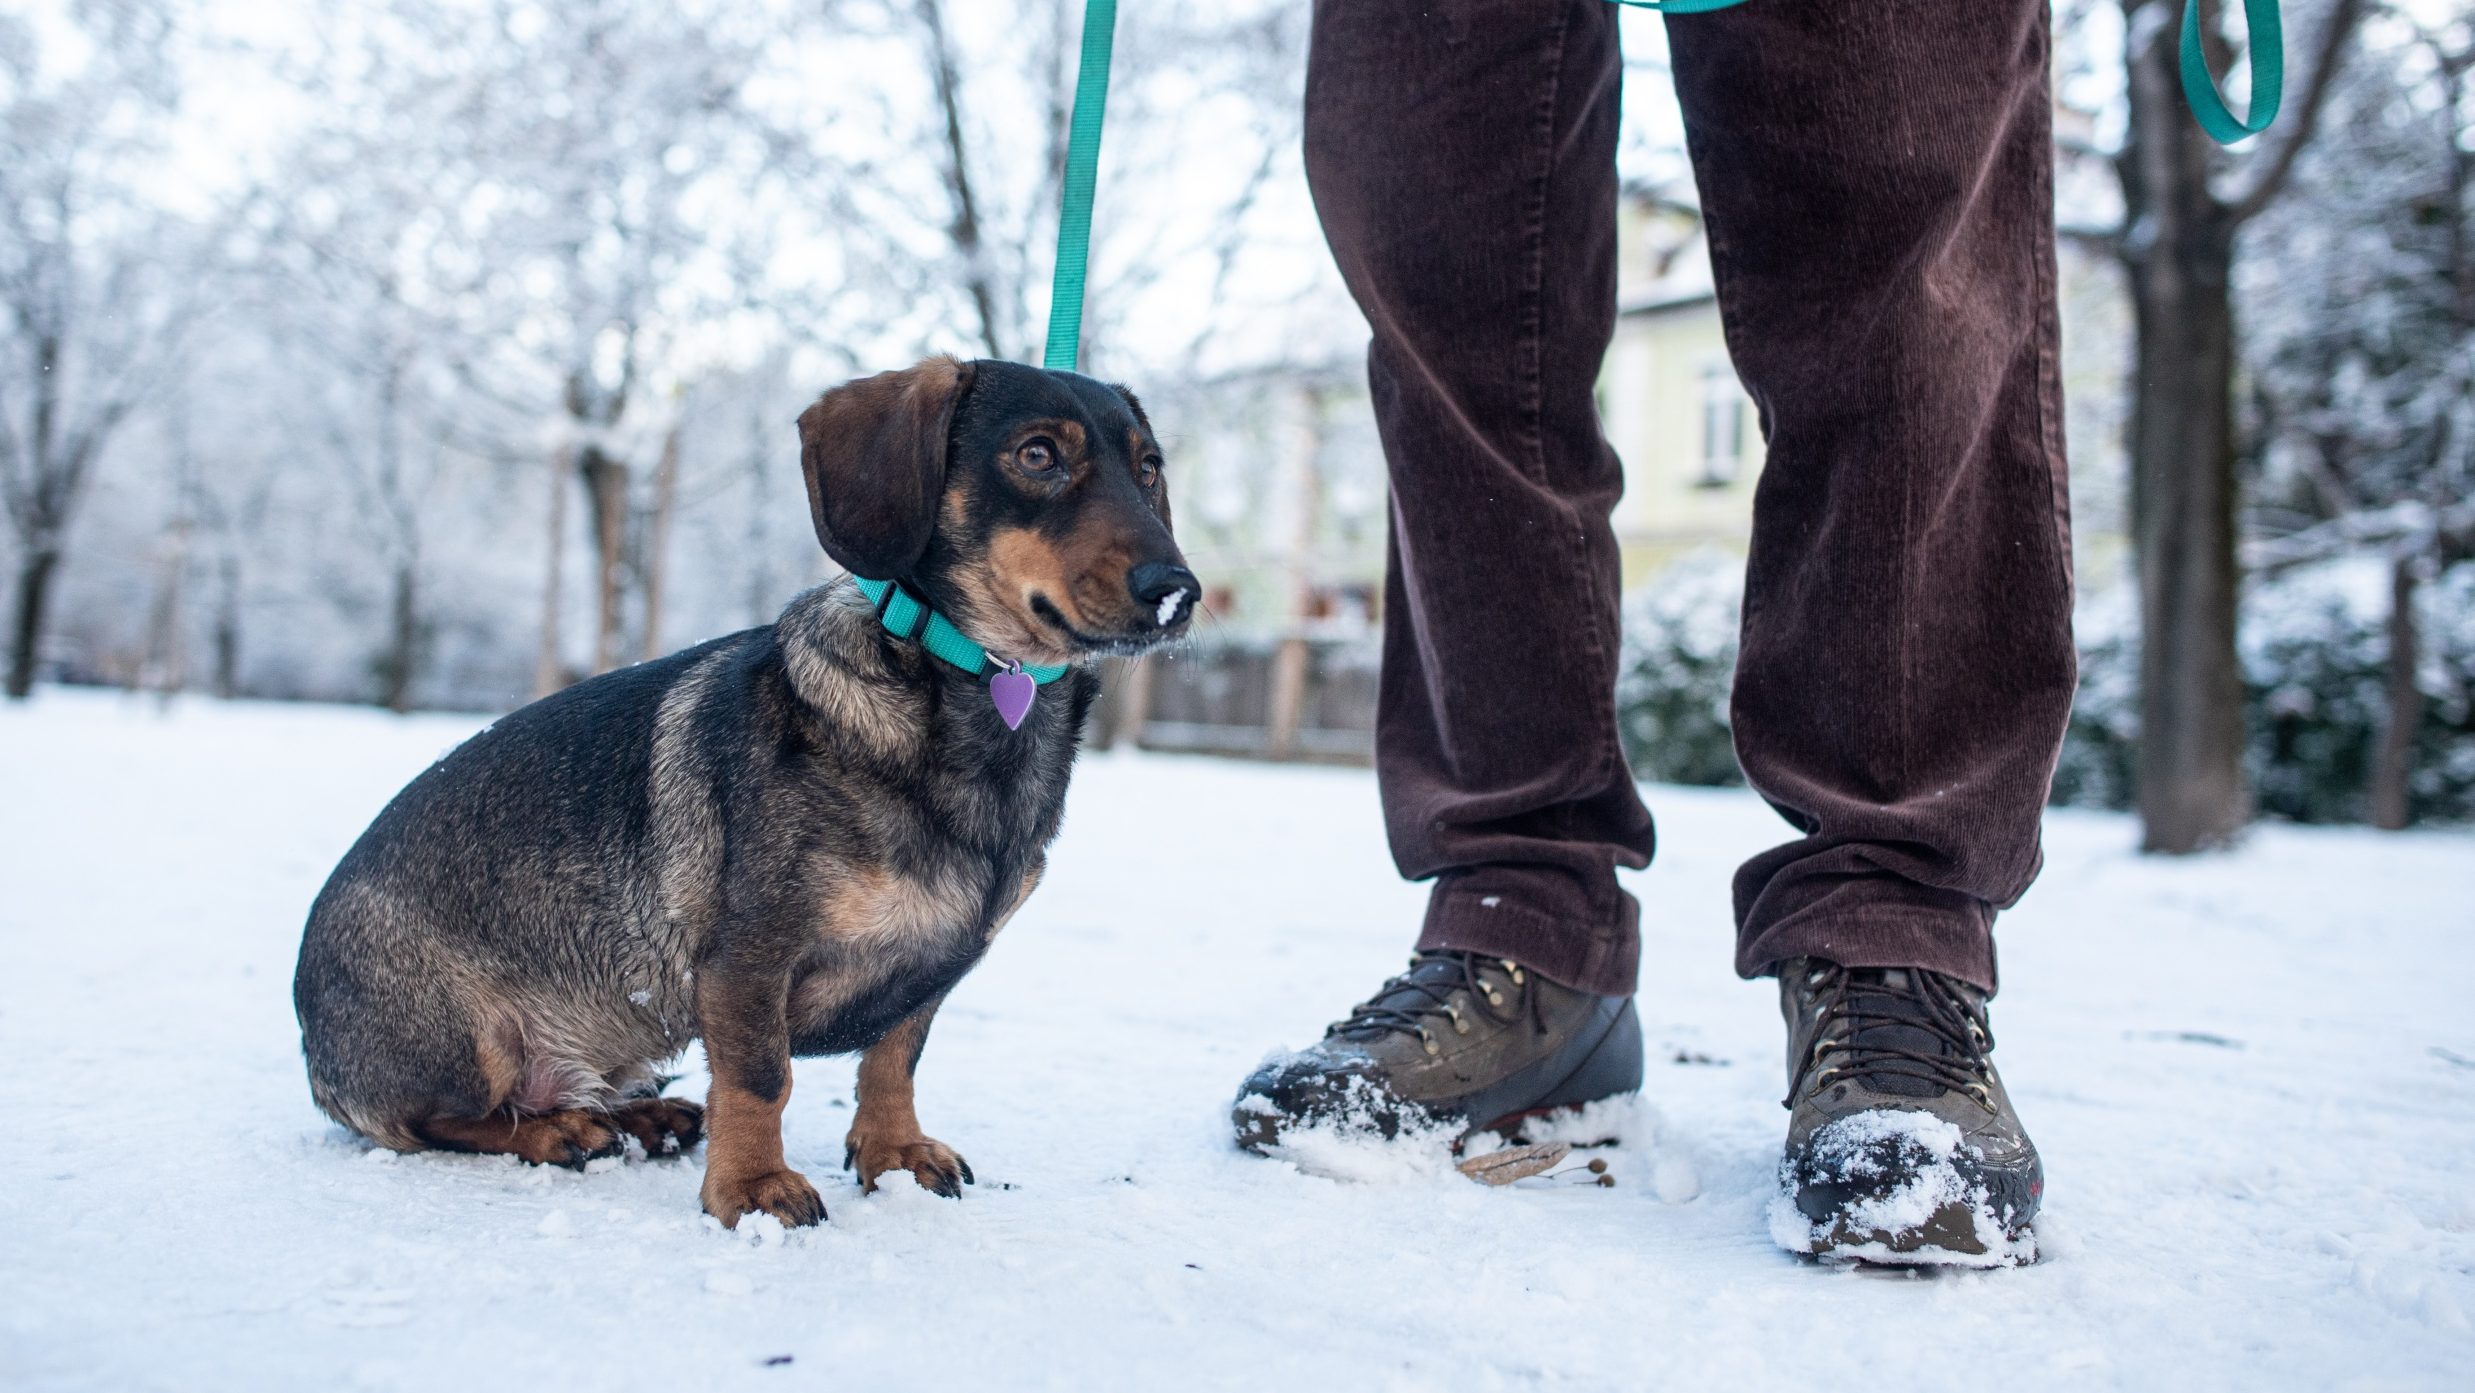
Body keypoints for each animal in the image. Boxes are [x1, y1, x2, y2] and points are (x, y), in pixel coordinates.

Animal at [289, 358, 1197, 1232]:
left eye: (1149, 468)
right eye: (1037, 455)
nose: (1177, 591)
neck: (973, 695)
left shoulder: (928, 973)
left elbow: (894, 1059)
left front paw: (894, 1153)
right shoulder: (749, 960)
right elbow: (762, 1078)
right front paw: (754, 1189)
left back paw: (643, 1116)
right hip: (467, 1043)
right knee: (437, 1121)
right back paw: (558, 1128)